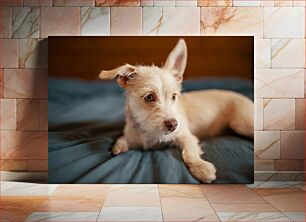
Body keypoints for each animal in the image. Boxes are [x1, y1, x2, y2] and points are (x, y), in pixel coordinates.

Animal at [98, 39, 253, 183]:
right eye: (149, 97)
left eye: (174, 96)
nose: (173, 124)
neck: (148, 132)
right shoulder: (132, 135)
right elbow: (123, 138)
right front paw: (119, 146)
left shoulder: (186, 136)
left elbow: (188, 153)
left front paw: (201, 168)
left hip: (242, 124)